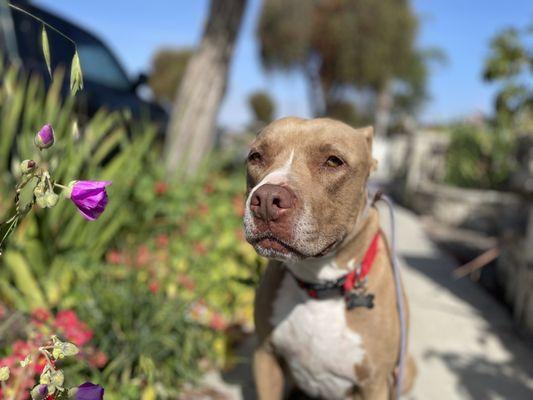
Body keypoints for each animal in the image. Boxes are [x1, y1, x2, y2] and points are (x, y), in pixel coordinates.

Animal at [242, 117, 416, 398]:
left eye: (334, 161)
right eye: (256, 157)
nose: (267, 199)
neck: (320, 283)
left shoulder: (374, 383)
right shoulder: (265, 355)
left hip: (406, 370)